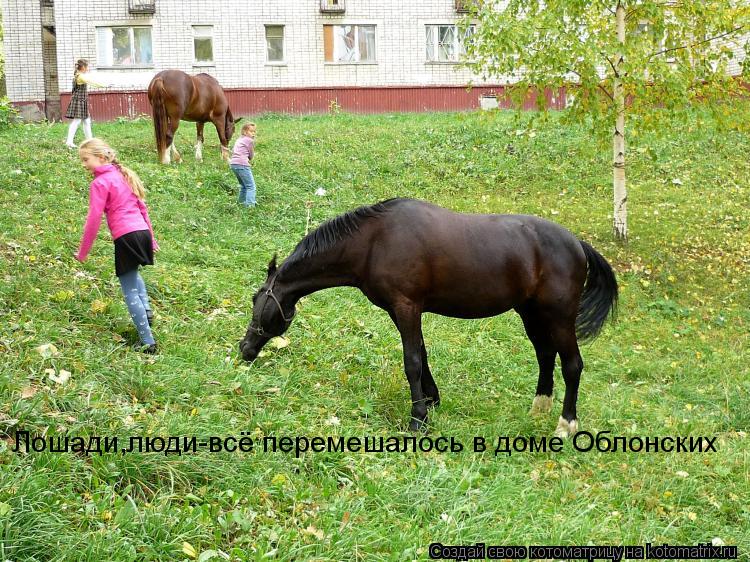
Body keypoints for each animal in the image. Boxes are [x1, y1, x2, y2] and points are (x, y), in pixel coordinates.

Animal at [239, 198, 618, 435]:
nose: (245, 349)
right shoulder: (404, 310)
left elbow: (411, 361)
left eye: (257, 298)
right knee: (544, 355)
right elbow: (421, 355)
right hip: (532, 314)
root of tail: (578, 244)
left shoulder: (406, 307)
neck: (374, 241)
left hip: (560, 317)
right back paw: (539, 407)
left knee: (572, 365)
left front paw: (418, 419)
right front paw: (432, 401)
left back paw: (566, 424)